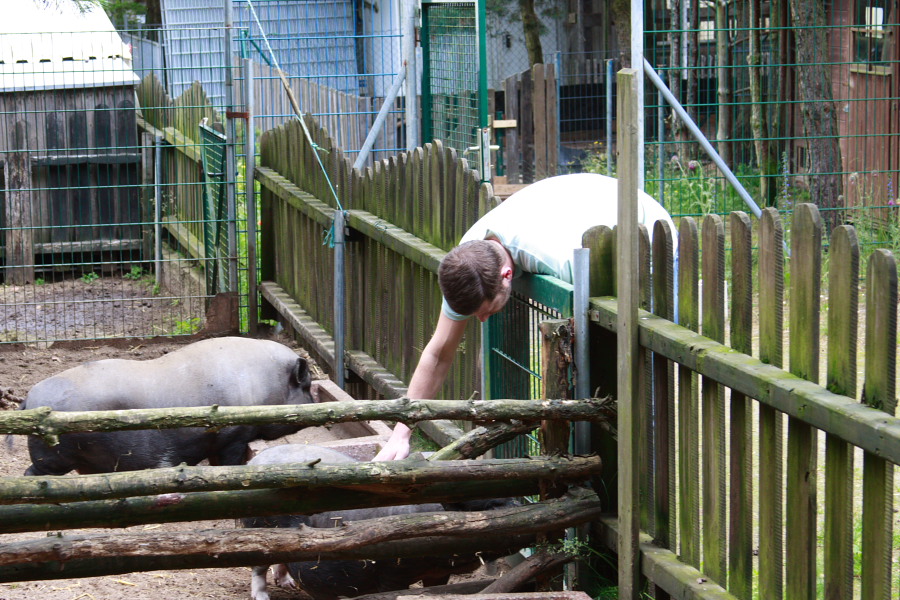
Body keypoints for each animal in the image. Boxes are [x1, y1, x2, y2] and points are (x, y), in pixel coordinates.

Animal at [17, 338, 314, 474]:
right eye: (308, 386)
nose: (316, 402)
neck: (264, 385)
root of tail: (28, 400)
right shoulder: (234, 437)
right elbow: (230, 463)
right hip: (52, 458)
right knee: (32, 474)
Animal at [243, 442, 520, 600]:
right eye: (489, 505)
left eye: (513, 495)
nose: (519, 508)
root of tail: (254, 460)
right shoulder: (391, 570)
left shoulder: (440, 573)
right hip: (255, 526)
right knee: (258, 567)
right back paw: (262, 597)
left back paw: (288, 584)